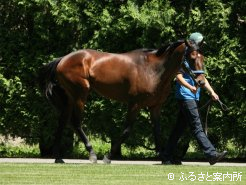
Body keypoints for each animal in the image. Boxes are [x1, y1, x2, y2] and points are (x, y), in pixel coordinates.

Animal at [38, 39, 204, 163]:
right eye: (192, 57)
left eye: (202, 57)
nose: (201, 82)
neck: (153, 70)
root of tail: (62, 59)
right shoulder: (135, 104)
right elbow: (126, 131)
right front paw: (108, 157)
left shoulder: (155, 107)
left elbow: (157, 132)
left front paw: (164, 158)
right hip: (80, 95)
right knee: (76, 122)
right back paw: (92, 154)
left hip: (70, 98)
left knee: (62, 122)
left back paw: (58, 157)